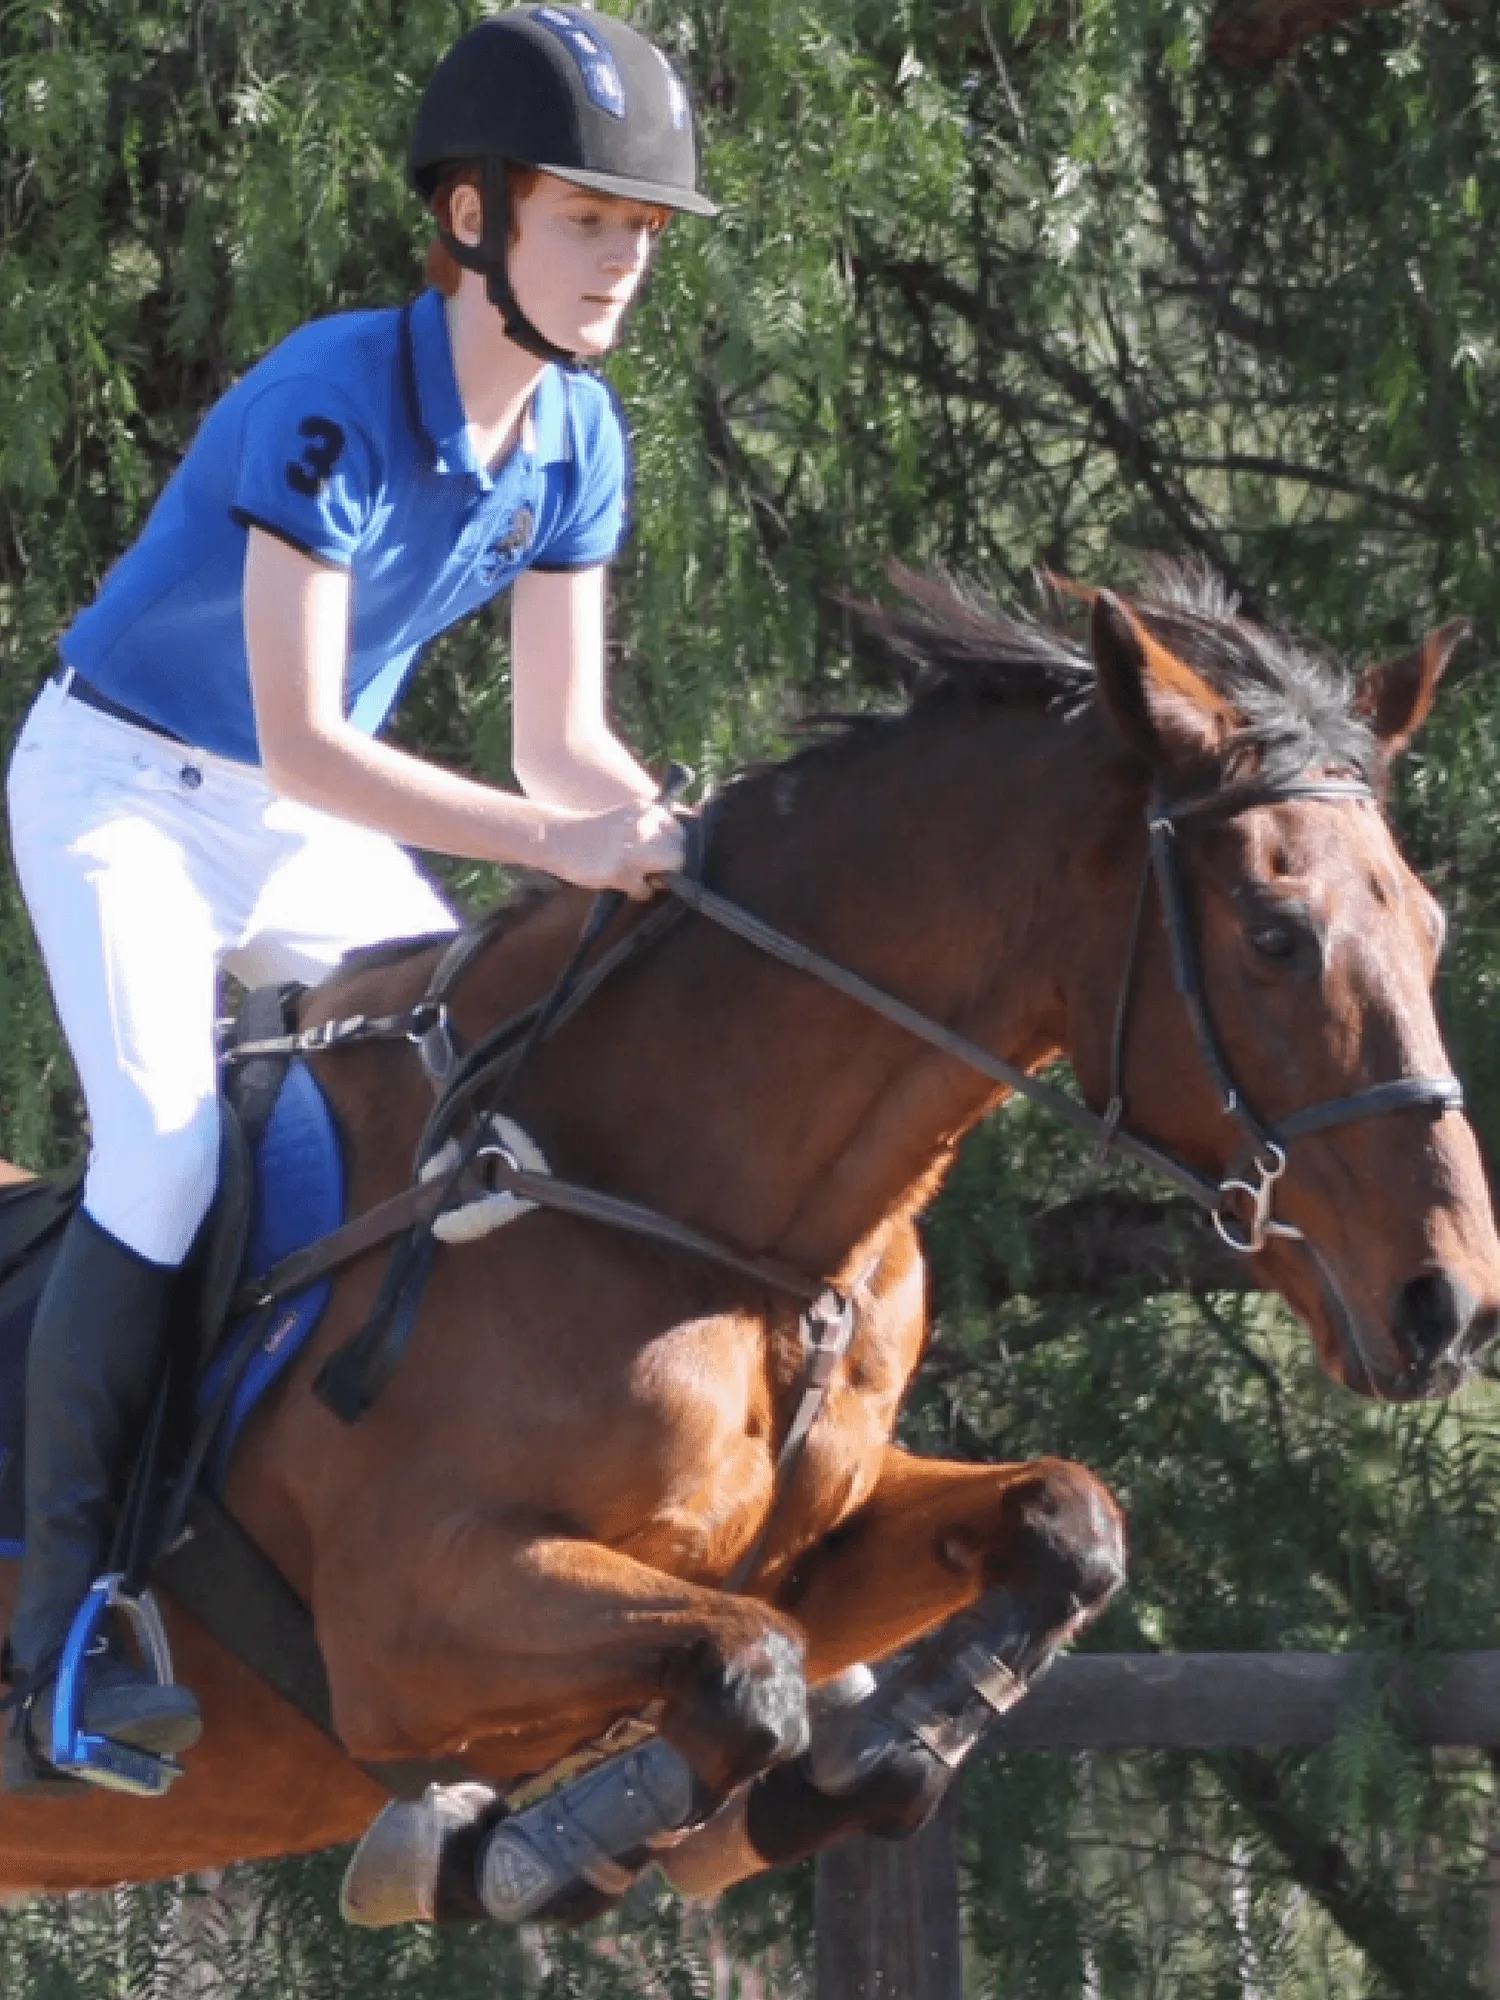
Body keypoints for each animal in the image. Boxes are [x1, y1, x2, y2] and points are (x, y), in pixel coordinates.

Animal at [0, 572, 1496, 1912]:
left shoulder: (818, 1534)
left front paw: (866, 1757)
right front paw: (526, 1849)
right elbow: (751, 1671)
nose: (1449, 1308)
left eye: (1430, 924)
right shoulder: (408, 1619)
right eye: (1276, 934)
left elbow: (1067, 1524)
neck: (708, 1217)